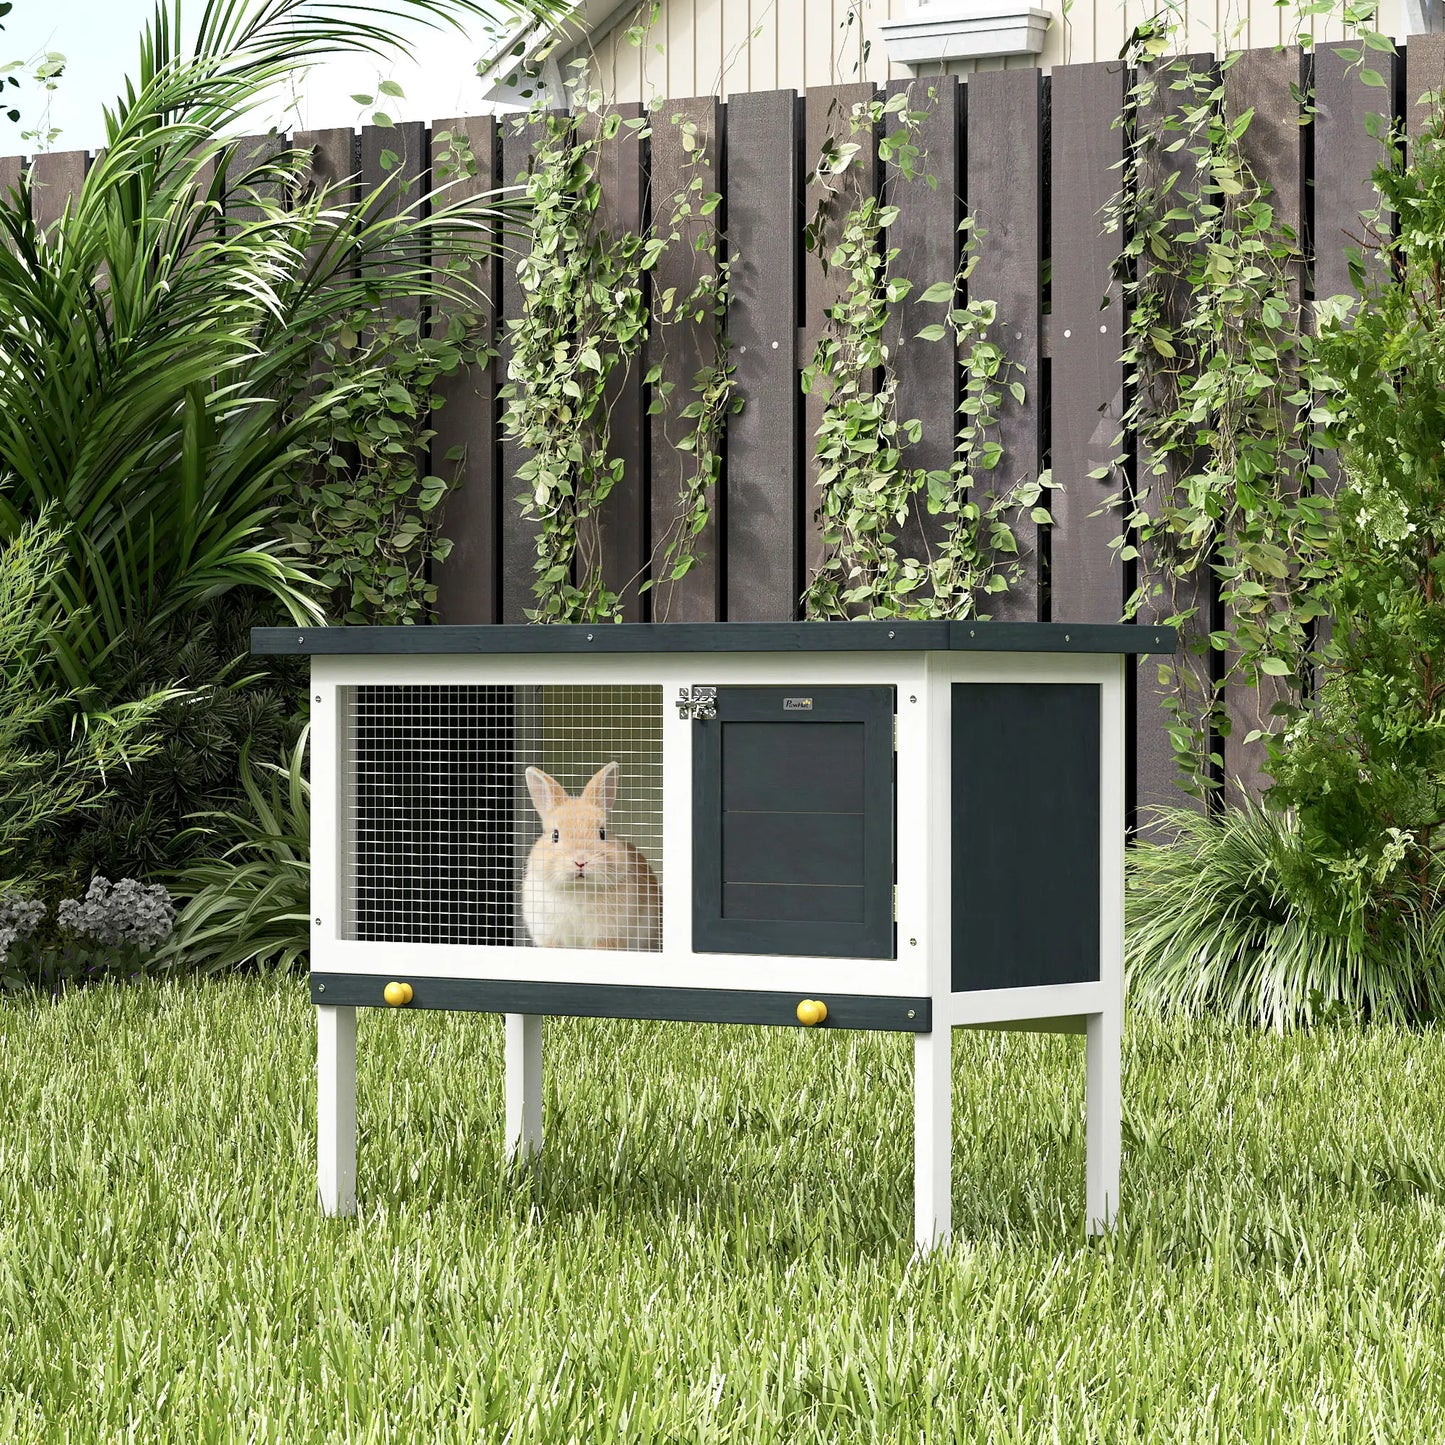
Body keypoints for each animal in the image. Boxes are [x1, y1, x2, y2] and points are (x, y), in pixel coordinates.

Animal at [521, 761, 662, 951]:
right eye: (555, 835)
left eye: (602, 833)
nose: (580, 862)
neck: (578, 889)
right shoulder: (550, 936)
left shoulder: (605, 938)